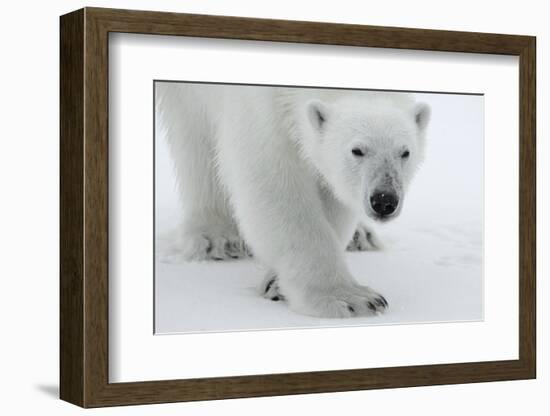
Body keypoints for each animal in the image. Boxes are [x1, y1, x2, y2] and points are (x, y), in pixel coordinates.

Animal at [155, 83, 432, 318]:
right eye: (357, 150)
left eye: (405, 152)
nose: (384, 200)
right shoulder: (257, 104)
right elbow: (272, 180)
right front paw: (349, 299)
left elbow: (330, 189)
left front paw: (277, 283)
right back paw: (218, 237)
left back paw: (360, 236)